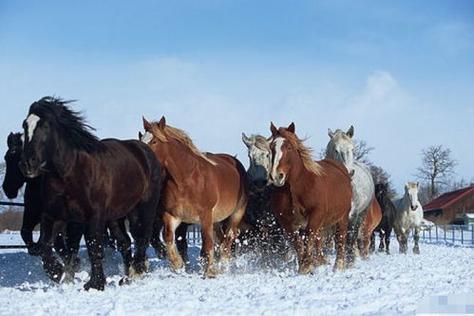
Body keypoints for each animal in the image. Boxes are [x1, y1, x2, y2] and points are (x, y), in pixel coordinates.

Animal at [19, 97, 163, 292]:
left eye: (45, 125)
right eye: (24, 125)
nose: (28, 163)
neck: (70, 172)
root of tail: (145, 151)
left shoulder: (93, 216)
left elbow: (93, 245)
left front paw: (95, 284)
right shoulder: (55, 216)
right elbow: (46, 245)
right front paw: (58, 273)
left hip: (143, 209)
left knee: (142, 238)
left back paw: (136, 273)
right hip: (115, 217)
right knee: (125, 242)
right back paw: (126, 277)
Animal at [141, 116, 248, 276]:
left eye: (154, 141)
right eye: (141, 139)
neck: (186, 181)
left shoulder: (205, 216)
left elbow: (207, 245)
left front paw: (209, 272)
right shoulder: (172, 216)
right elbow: (169, 238)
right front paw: (178, 265)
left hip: (236, 213)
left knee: (229, 237)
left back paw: (222, 265)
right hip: (217, 220)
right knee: (222, 238)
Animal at [268, 122, 354, 272]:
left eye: (289, 147)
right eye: (272, 147)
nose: (277, 176)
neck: (297, 188)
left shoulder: (315, 215)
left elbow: (309, 237)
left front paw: (306, 266)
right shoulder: (287, 222)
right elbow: (297, 243)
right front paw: (305, 265)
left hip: (342, 218)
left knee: (340, 239)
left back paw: (338, 265)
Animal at [326, 126, 374, 264]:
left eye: (352, 149)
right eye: (336, 150)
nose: (348, 172)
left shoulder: (353, 215)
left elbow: (349, 237)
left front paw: (348, 261)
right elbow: (336, 239)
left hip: (362, 214)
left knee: (354, 234)